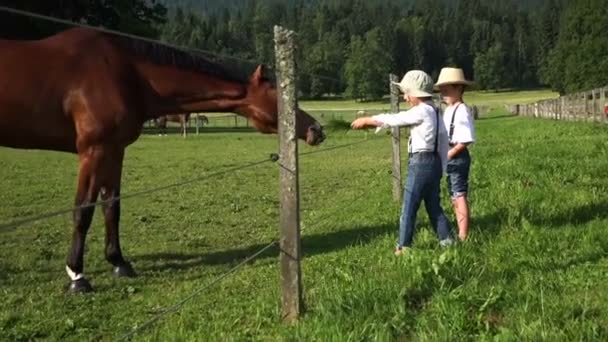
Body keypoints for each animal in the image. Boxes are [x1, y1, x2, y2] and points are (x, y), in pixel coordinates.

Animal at [0, 27, 324, 294]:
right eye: (279, 95)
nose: (316, 130)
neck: (126, 75)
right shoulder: (94, 151)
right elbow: (83, 211)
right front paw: (77, 276)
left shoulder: (114, 150)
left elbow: (111, 207)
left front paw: (119, 263)